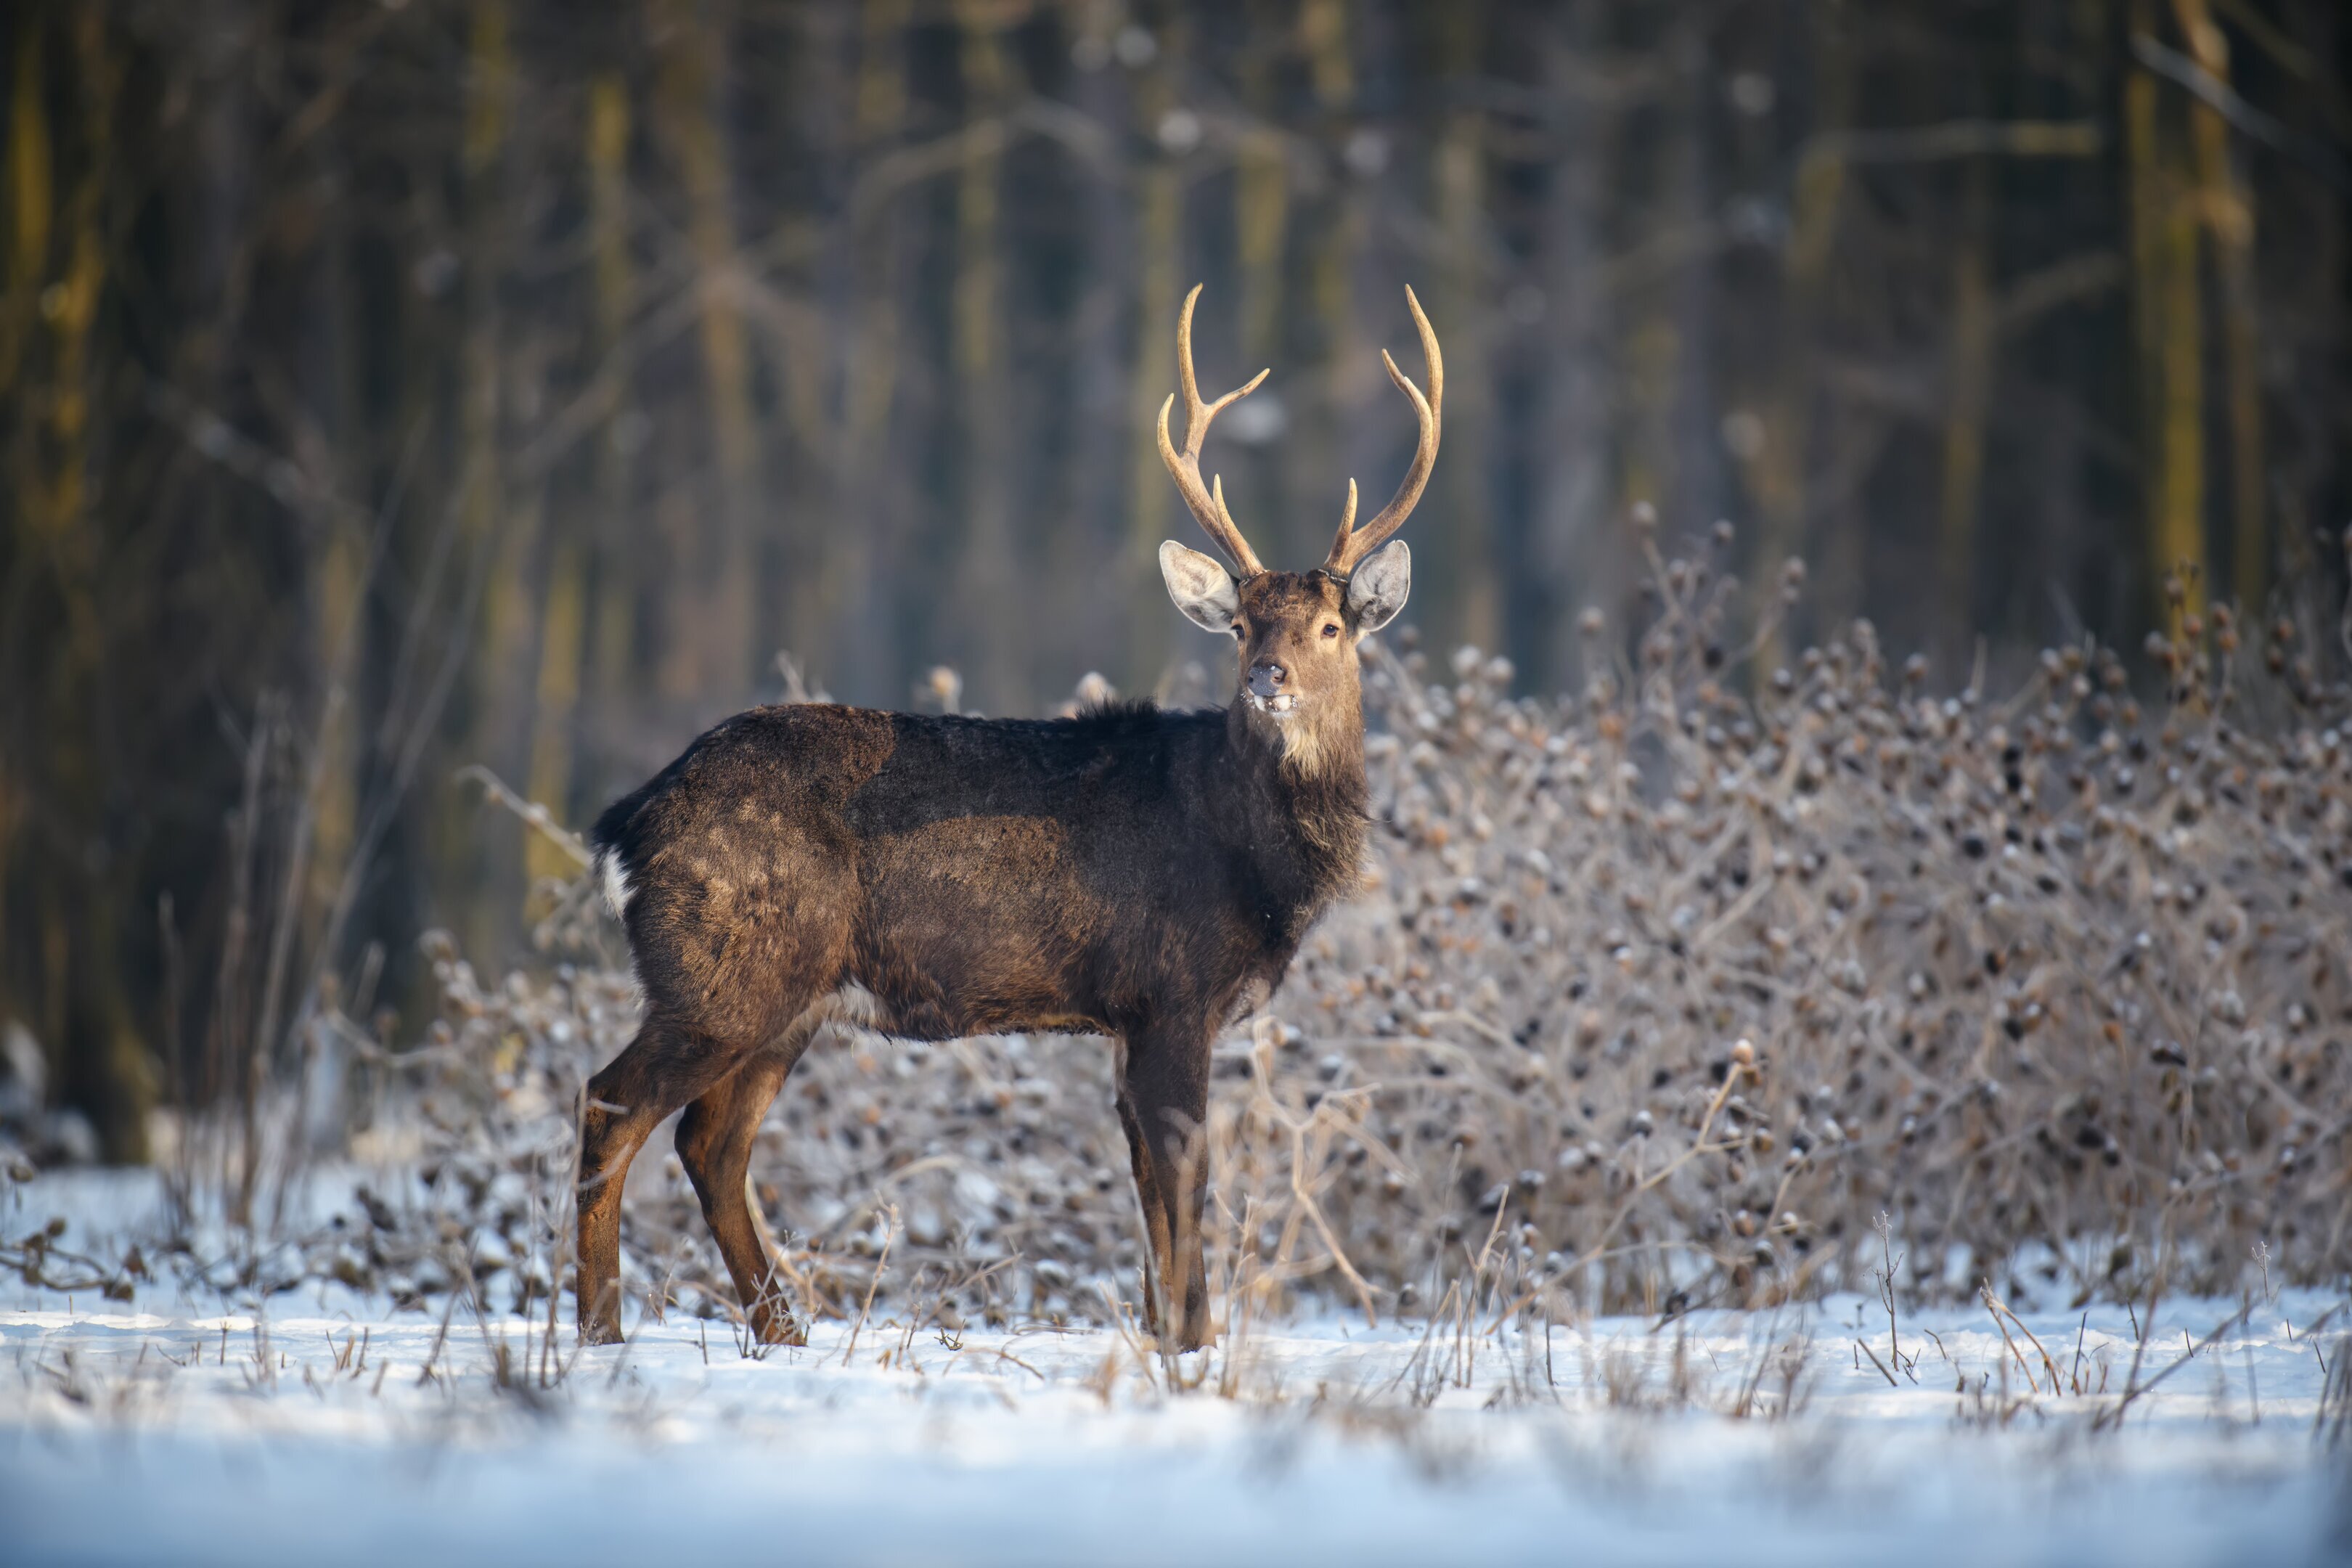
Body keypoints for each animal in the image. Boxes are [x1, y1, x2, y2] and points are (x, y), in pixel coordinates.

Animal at [579, 282, 1439, 1354]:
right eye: (1243, 625)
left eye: (1330, 627)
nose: (1268, 676)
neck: (1253, 864)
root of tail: (628, 822)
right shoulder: (1173, 990)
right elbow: (1187, 1179)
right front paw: (1197, 1343)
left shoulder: (1128, 1015)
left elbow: (1150, 1187)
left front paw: (1166, 1334)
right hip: (719, 972)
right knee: (612, 1107)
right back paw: (603, 1332)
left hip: (786, 997)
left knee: (710, 1142)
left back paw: (783, 1330)